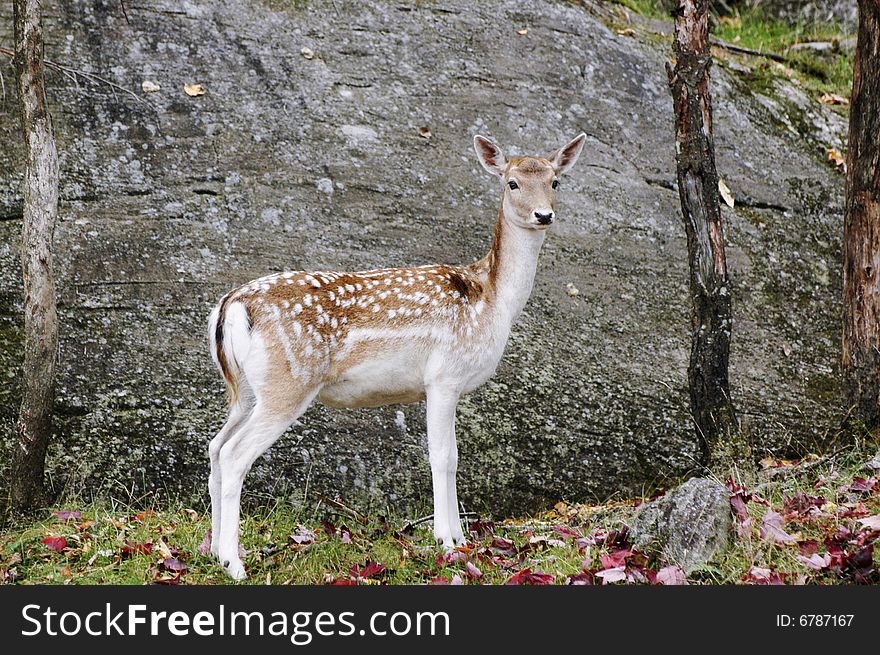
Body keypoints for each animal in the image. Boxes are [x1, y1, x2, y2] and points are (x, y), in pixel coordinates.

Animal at [208, 133, 584, 580]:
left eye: (555, 181)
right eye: (512, 182)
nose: (544, 214)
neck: (493, 299)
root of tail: (231, 305)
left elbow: (452, 456)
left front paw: (461, 537)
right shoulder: (444, 376)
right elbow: (444, 456)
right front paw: (448, 541)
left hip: (246, 389)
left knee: (215, 447)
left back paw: (211, 553)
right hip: (289, 381)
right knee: (234, 454)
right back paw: (233, 563)